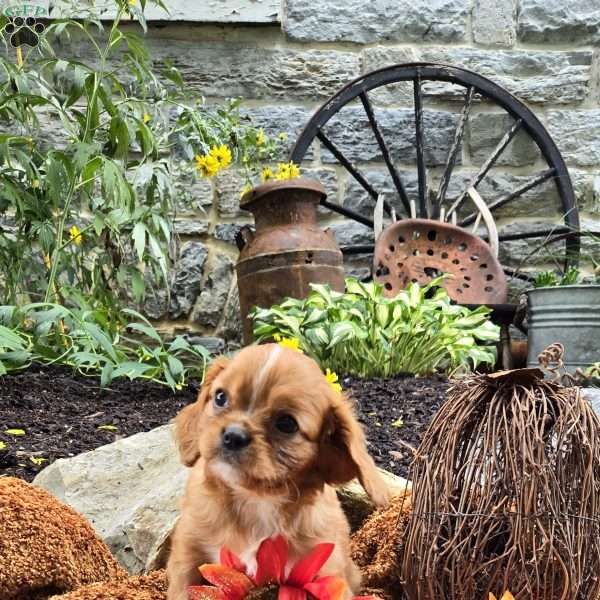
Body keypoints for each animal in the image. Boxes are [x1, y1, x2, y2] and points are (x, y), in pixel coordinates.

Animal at [165, 342, 390, 600]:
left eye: (286, 424)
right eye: (220, 397)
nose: (233, 435)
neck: (256, 500)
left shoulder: (328, 570)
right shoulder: (186, 554)